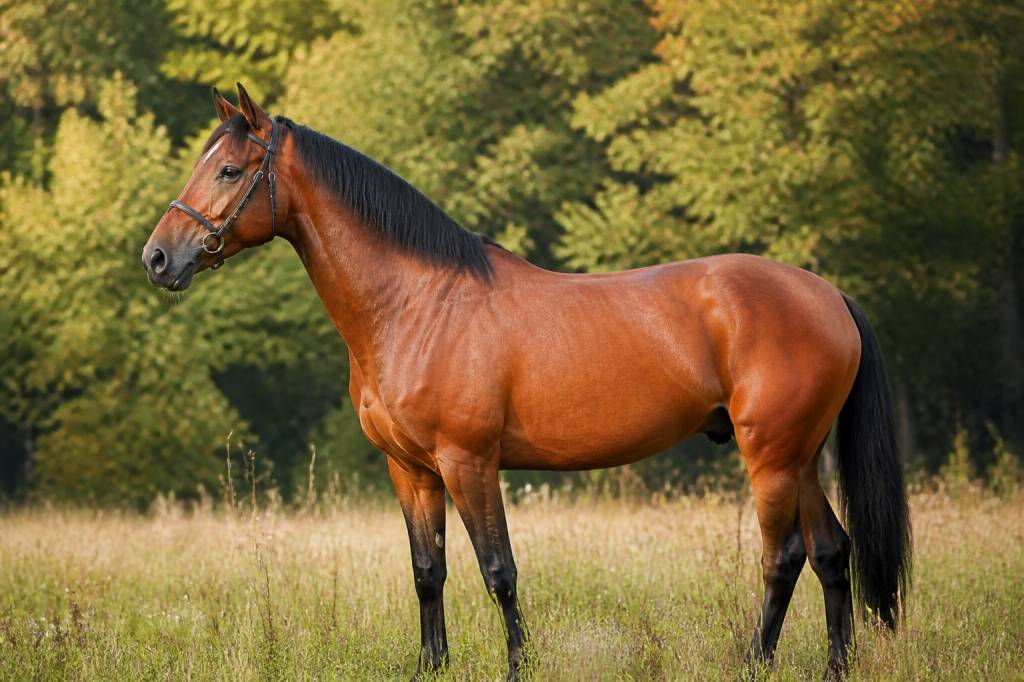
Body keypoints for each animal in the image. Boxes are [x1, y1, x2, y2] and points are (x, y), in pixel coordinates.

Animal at [143, 84, 910, 680]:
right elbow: (428, 572)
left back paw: (755, 661)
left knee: (783, 559)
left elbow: (498, 571)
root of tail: (826, 295)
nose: (157, 258)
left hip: (771, 457)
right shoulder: (410, 470)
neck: (417, 303)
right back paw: (834, 668)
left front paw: (518, 666)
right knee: (831, 553)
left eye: (230, 170)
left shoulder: (469, 462)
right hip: (800, 456)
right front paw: (431, 666)